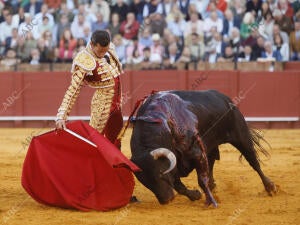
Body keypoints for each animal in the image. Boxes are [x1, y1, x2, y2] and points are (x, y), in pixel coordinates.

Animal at [130, 90, 278, 207]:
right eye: (144, 181)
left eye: (161, 173)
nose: (166, 200)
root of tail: (226, 99)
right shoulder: (176, 164)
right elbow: (179, 186)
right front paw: (196, 195)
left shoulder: (196, 153)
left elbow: (200, 180)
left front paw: (210, 201)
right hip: (211, 145)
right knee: (211, 161)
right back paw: (212, 186)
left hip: (241, 136)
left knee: (253, 161)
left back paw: (270, 187)